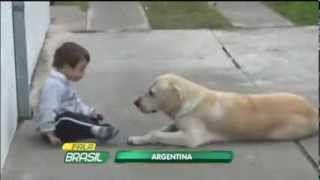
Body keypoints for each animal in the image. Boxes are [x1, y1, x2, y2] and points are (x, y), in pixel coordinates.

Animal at [129, 74, 318, 147]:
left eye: (151, 93)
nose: (135, 102)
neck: (188, 100)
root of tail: (314, 110)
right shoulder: (177, 122)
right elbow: (160, 129)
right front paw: (138, 138)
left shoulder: (191, 138)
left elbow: (156, 134)